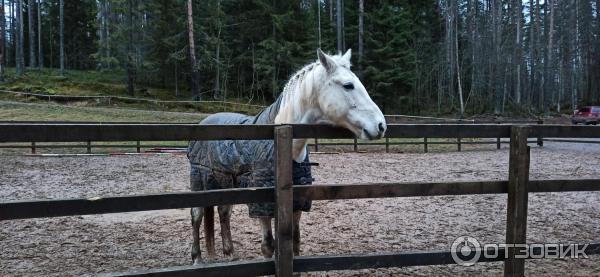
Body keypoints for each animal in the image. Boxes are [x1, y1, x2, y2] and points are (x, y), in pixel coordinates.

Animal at [186, 48, 384, 264]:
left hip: (226, 183)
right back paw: (197, 258)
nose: (381, 125)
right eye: (348, 85)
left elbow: (294, 243)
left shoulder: (297, 204)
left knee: (223, 212)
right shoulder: (262, 206)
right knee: (196, 215)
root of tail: (204, 122)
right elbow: (268, 246)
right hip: (200, 181)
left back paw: (230, 254)